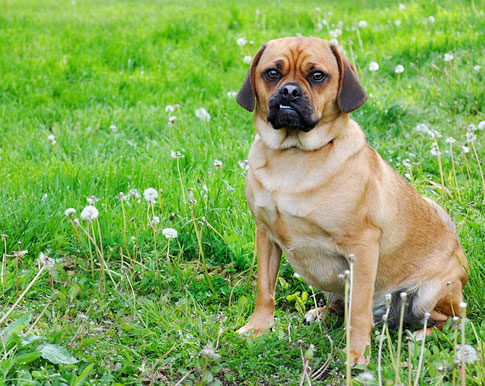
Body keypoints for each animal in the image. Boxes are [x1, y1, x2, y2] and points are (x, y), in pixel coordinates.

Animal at [236, 37, 466, 366]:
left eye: (318, 75)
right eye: (272, 73)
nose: (290, 91)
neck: (294, 154)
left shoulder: (362, 247)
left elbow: (358, 312)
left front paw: (357, 352)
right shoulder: (265, 236)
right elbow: (265, 290)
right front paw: (258, 327)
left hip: (430, 294)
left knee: (451, 321)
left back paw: (421, 335)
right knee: (339, 304)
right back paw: (322, 312)